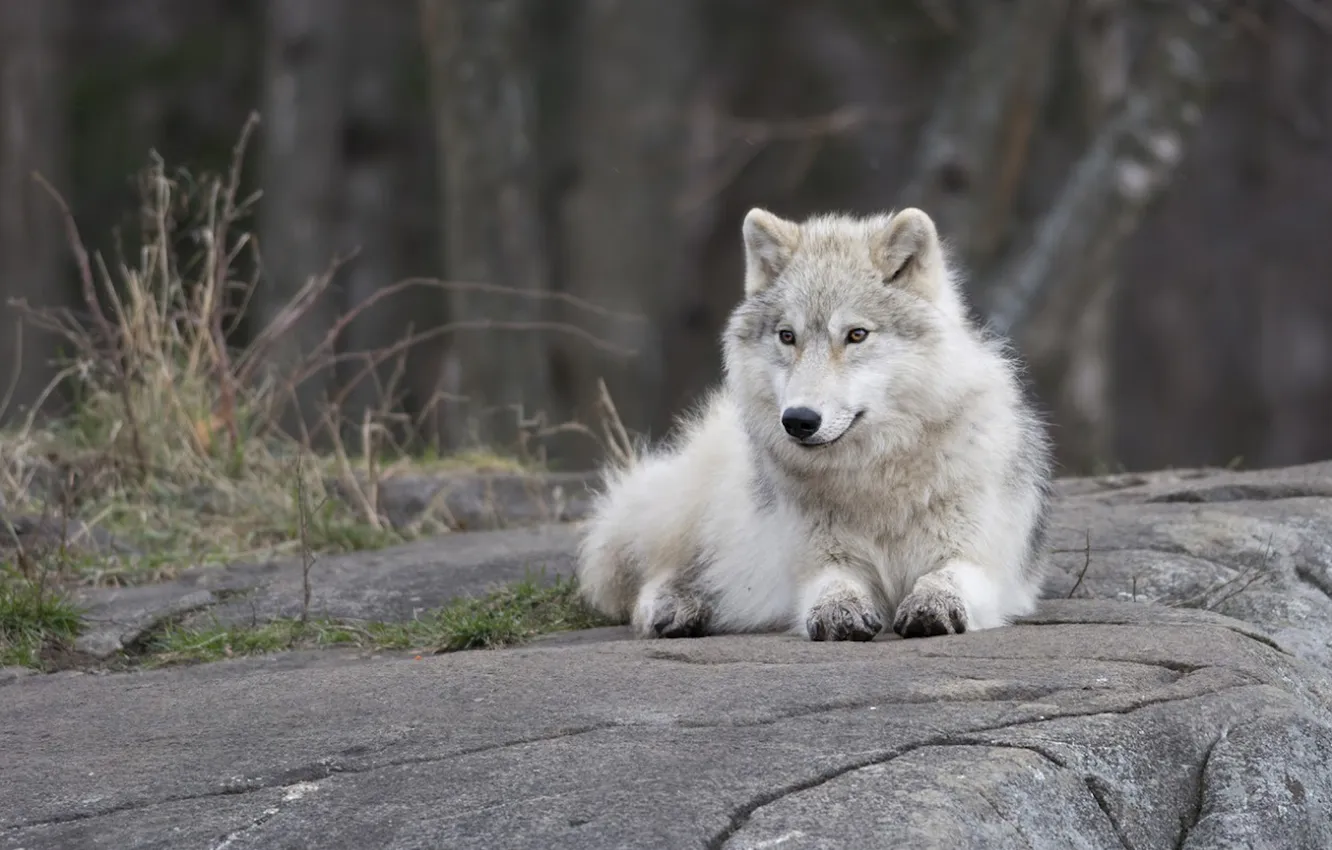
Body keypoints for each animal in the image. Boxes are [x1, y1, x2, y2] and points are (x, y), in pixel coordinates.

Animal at [575, 206, 1053, 641]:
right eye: (788, 336)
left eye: (856, 335)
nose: (799, 420)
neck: (877, 478)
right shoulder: (819, 561)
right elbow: (832, 584)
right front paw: (839, 611)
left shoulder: (981, 560)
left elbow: (944, 577)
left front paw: (932, 605)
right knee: (655, 577)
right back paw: (678, 608)